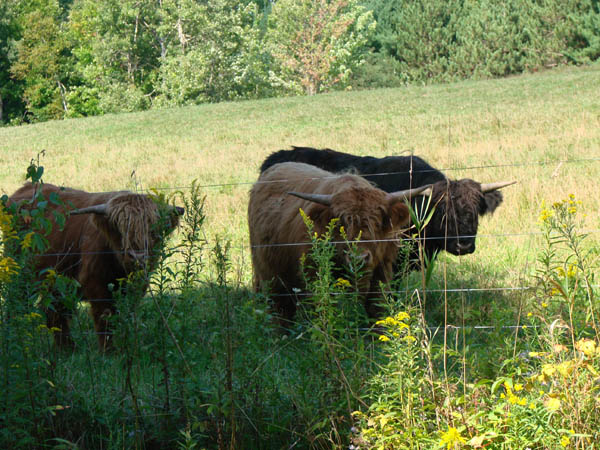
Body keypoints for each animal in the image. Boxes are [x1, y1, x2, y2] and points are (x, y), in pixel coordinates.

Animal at [8, 183, 183, 352]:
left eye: (153, 229)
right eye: (119, 227)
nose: (138, 256)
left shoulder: (137, 286)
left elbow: (126, 314)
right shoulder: (95, 283)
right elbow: (105, 318)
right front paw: (108, 351)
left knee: (54, 311)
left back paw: (66, 349)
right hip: (20, 272)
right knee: (18, 300)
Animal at [247, 162, 426, 324]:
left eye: (376, 222)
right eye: (342, 223)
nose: (358, 259)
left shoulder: (382, 273)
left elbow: (377, 310)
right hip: (269, 276)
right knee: (279, 310)